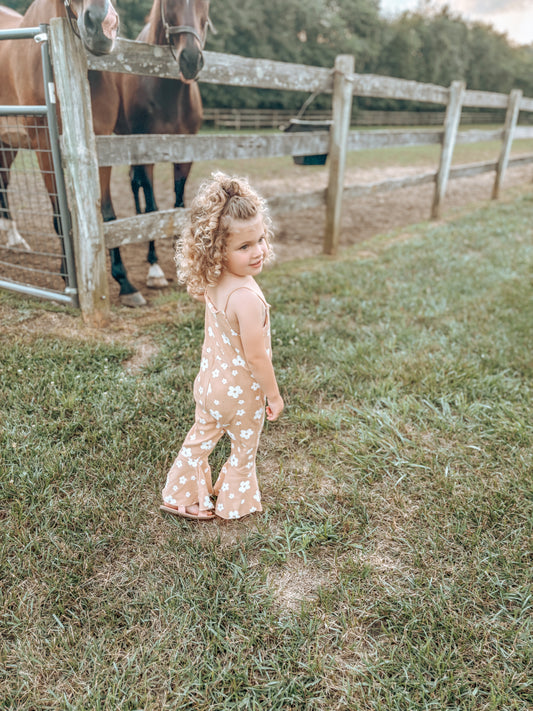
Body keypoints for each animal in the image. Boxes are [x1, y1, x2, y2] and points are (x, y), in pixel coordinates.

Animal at [0, 0, 118, 286]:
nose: (104, 25)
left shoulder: (100, 140)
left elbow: (107, 213)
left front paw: (126, 284)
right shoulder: (45, 143)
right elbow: (59, 217)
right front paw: (66, 274)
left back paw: (15, 239)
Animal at [103, 0, 211, 294]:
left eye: (206, 4)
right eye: (170, 3)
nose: (191, 59)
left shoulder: (185, 155)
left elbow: (178, 202)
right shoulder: (145, 152)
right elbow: (152, 204)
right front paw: (155, 268)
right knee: (136, 184)